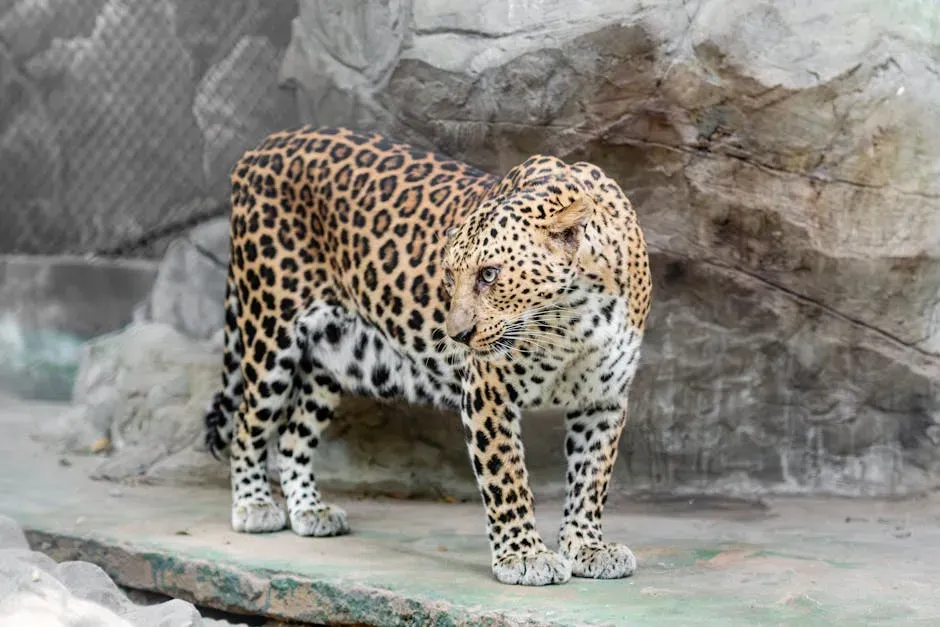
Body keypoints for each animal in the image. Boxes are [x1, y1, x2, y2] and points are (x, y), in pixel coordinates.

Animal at [204, 125, 652, 586]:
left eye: (489, 274)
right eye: (450, 276)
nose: (457, 335)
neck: (572, 321)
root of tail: (260, 148)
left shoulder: (603, 399)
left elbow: (591, 478)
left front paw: (588, 546)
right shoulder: (488, 392)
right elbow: (506, 477)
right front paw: (525, 556)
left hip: (332, 356)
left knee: (294, 434)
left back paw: (310, 511)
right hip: (271, 331)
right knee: (248, 425)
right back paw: (254, 506)